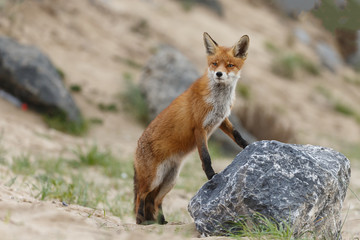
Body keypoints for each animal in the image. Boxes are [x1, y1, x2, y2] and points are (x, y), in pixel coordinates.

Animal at [134, 32, 249, 225]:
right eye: (214, 63)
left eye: (230, 65)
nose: (219, 74)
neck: (218, 100)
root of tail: (135, 150)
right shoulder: (199, 128)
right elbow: (206, 157)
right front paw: (211, 177)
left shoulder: (221, 120)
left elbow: (237, 135)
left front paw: (249, 146)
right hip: (153, 179)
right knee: (140, 197)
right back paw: (140, 219)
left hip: (170, 180)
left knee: (155, 200)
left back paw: (161, 222)